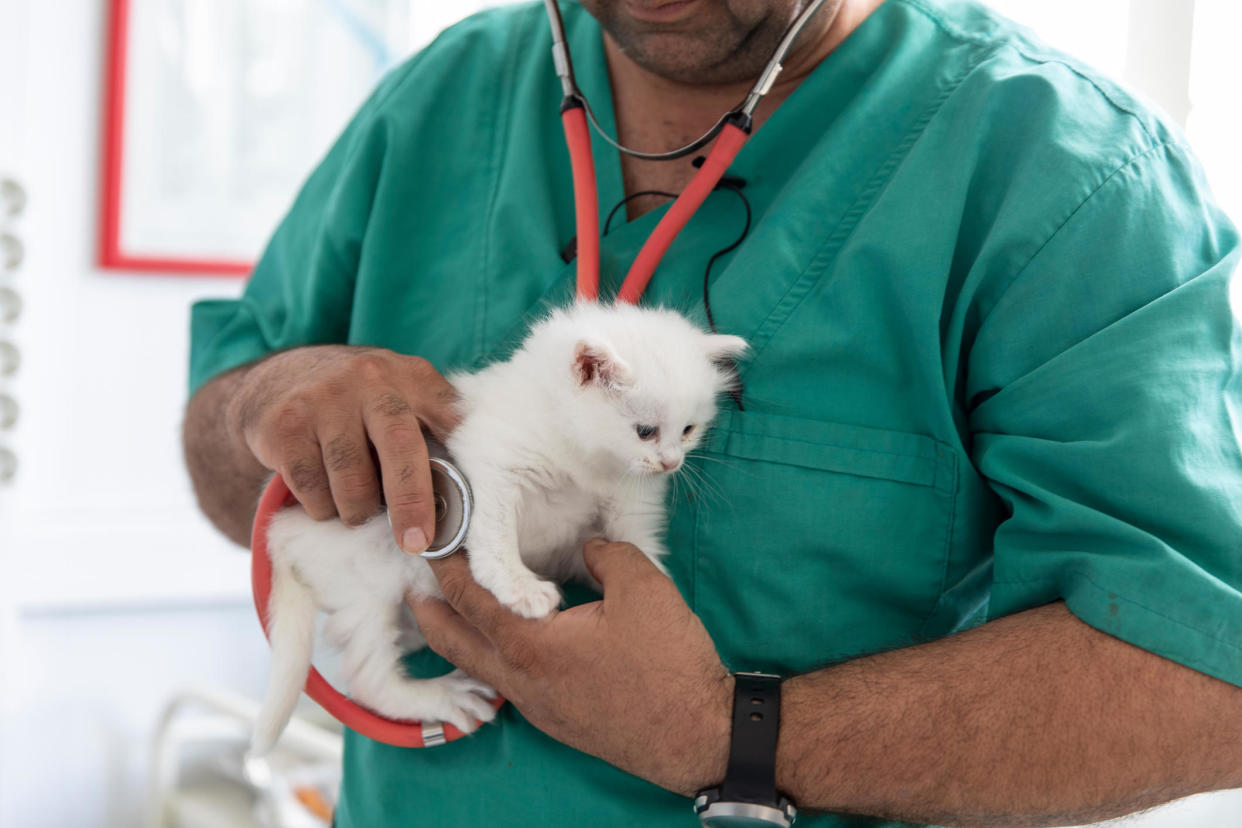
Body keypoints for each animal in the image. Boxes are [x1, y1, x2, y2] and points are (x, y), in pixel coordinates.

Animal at [247, 301, 740, 754]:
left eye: (689, 430)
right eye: (645, 431)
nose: (671, 463)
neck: (584, 457)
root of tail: (282, 531)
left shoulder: (623, 507)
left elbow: (638, 548)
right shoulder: (494, 463)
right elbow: (497, 535)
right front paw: (519, 587)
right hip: (367, 591)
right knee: (370, 679)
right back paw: (441, 697)